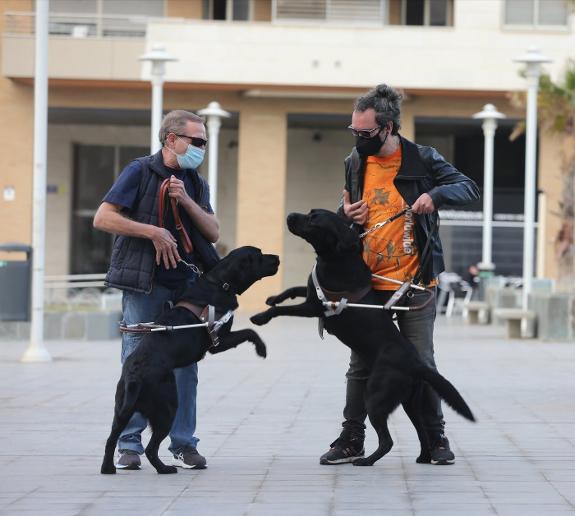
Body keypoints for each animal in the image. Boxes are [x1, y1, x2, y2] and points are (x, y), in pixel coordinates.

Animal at [102, 247, 282, 476]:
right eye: (259, 255)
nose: (277, 258)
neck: (220, 283)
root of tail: (135, 376)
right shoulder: (218, 341)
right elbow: (250, 331)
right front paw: (261, 348)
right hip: (168, 407)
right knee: (151, 448)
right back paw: (164, 469)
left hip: (121, 409)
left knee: (110, 439)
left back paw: (108, 468)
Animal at [253, 211, 476, 468]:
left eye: (314, 219)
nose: (290, 215)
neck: (337, 257)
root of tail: (416, 364)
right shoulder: (312, 294)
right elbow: (293, 289)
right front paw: (272, 297)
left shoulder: (313, 307)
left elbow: (283, 309)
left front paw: (261, 316)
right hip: (408, 401)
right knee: (421, 430)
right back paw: (422, 457)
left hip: (376, 398)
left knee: (388, 440)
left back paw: (367, 461)